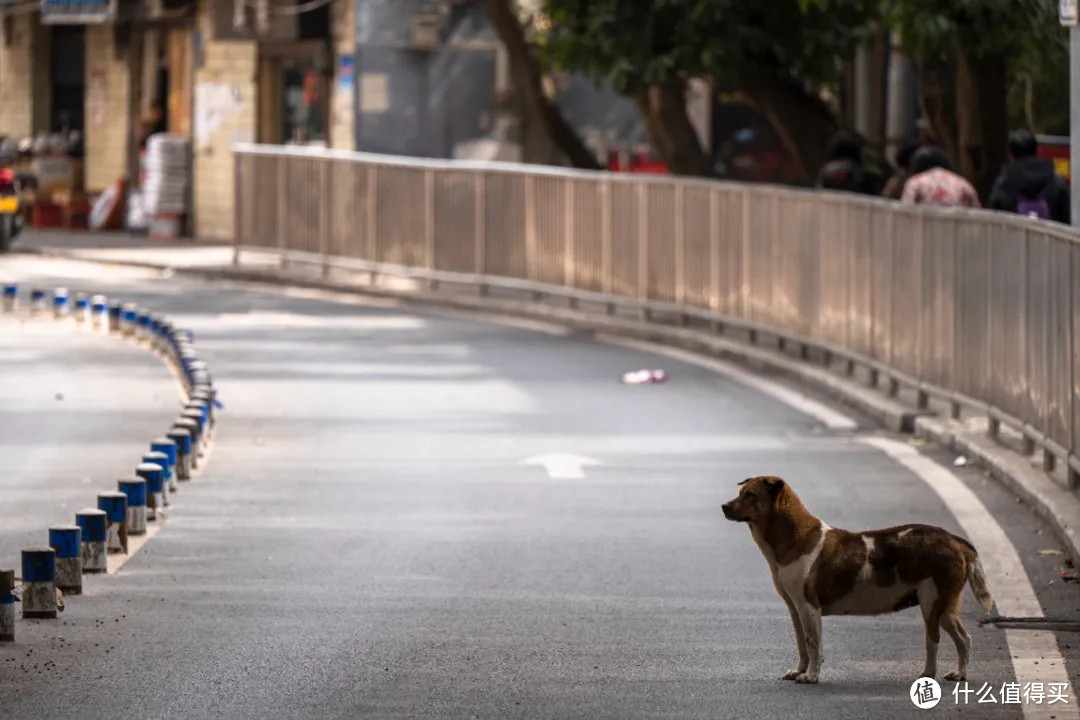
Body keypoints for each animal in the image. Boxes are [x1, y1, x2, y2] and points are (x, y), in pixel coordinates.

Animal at [725, 474, 993, 686]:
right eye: (740, 493)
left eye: (750, 495)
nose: (724, 506)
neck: (792, 537)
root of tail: (954, 540)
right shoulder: (794, 607)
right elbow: (802, 643)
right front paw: (799, 670)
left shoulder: (808, 606)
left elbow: (813, 644)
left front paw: (811, 675)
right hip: (945, 607)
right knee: (964, 639)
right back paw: (959, 674)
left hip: (931, 603)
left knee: (933, 641)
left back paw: (928, 673)